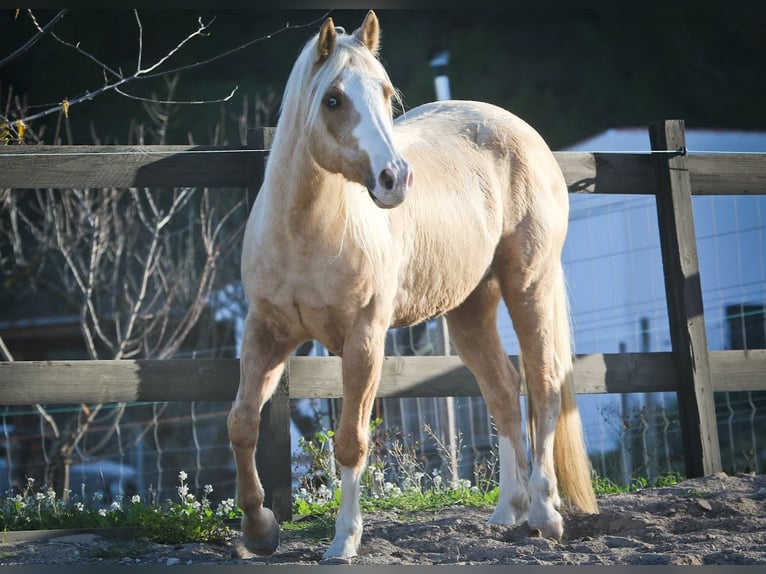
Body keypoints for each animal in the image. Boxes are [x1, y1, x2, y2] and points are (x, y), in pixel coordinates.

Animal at [228, 10, 600, 564]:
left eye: (385, 93)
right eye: (332, 99)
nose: (395, 178)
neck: (305, 232)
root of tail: (522, 132)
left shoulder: (364, 339)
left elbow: (352, 441)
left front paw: (344, 540)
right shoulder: (266, 333)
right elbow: (243, 424)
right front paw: (259, 529)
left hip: (529, 285)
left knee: (544, 385)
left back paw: (543, 513)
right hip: (470, 308)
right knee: (503, 389)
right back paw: (506, 512)